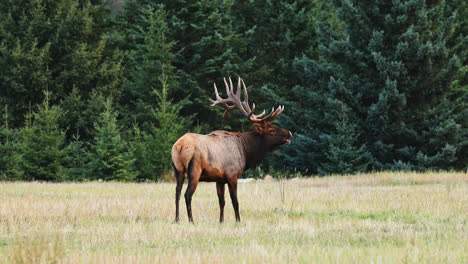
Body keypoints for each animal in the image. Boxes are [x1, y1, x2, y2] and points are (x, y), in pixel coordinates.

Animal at [170, 77, 290, 223]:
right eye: (272, 130)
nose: (289, 133)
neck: (246, 152)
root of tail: (180, 146)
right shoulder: (232, 175)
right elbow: (235, 201)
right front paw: (238, 221)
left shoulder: (219, 179)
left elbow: (221, 201)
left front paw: (221, 221)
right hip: (195, 170)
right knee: (187, 195)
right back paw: (191, 220)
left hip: (178, 170)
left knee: (177, 192)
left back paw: (177, 219)